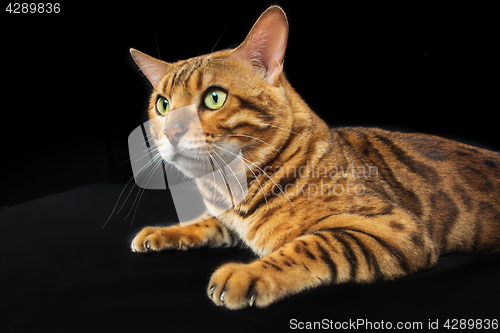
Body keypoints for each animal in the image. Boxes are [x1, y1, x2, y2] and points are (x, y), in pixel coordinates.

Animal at [128, 5, 500, 308]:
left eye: (214, 98)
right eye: (163, 105)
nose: (171, 131)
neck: (232, 190)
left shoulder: (396, 229)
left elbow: (311, 244)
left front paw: (247, 274)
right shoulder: (226, 217)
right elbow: (207, 221)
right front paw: (163, 232)